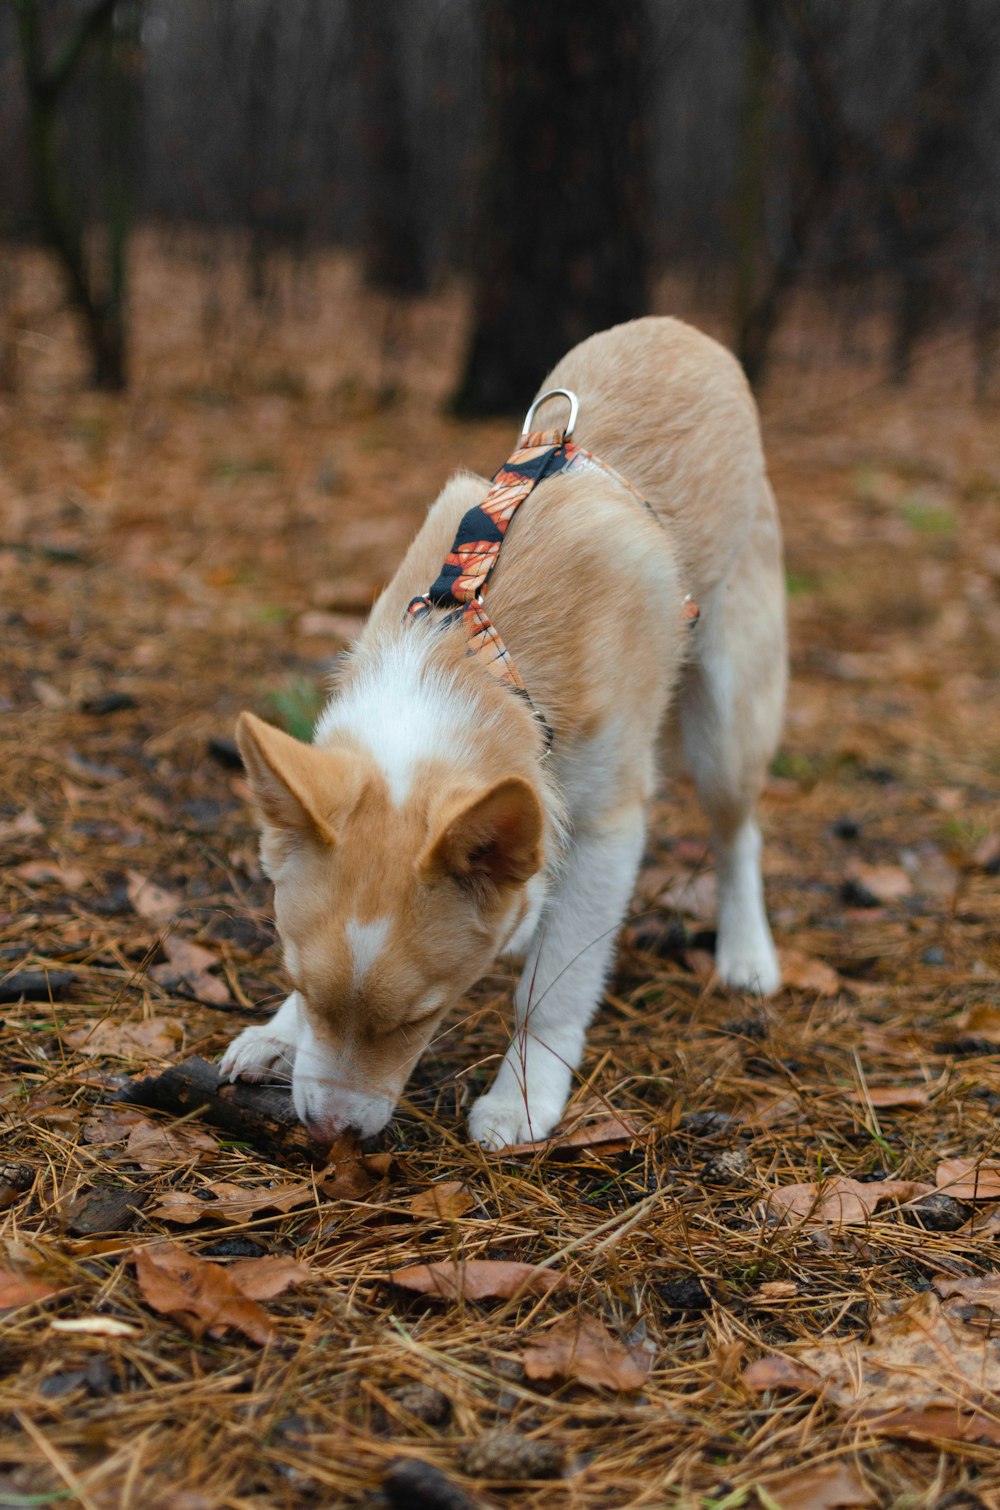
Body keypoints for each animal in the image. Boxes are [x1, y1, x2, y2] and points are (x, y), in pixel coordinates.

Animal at [222, 318, 791, 1141]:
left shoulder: (609, 826)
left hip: (727, 721)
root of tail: (685, 332)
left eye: (420, 1017)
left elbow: (552, 988)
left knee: (738, 832)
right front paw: (279, 1033)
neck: (471, 651)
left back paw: (746, 952)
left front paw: (522, 1096)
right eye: (294, 978)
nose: (332, 1134)